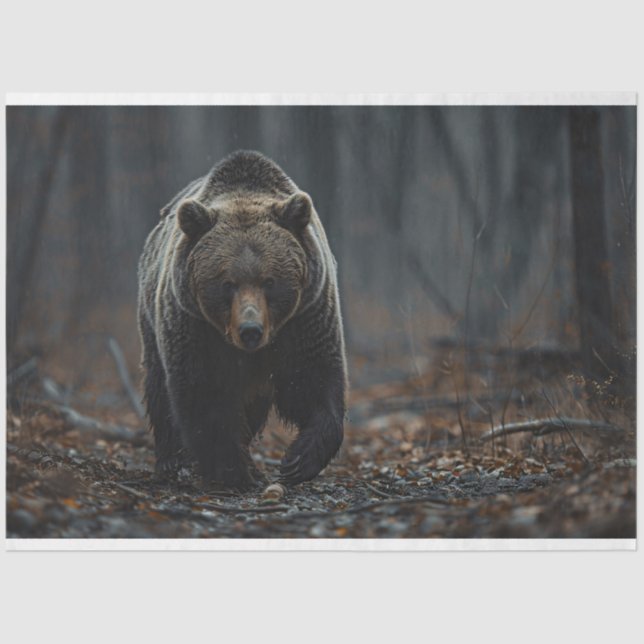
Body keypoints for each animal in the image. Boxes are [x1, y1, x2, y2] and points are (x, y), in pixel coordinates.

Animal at [137, 150, 347, 489]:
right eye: (227, 284)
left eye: (269, 281)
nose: (250, 330)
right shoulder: (195, 326)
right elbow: (203, 394)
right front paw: (233, 470)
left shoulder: (306, 317)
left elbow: (314, 382)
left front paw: (297, 460)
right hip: (151, 321)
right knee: (158, 388)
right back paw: (172, 461)